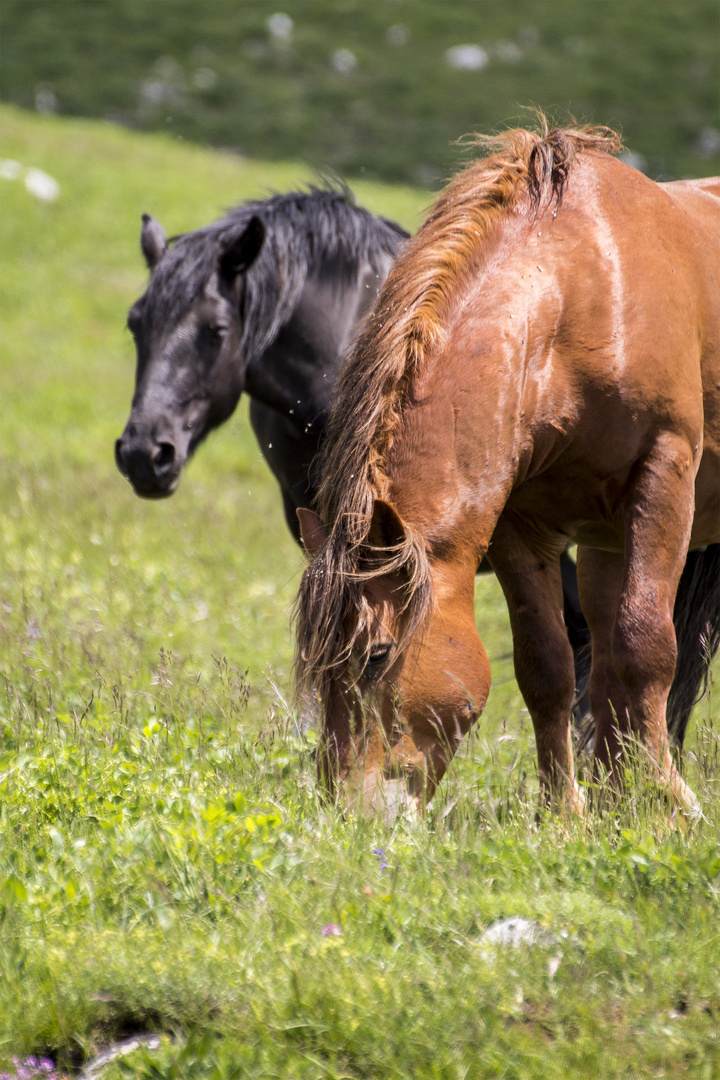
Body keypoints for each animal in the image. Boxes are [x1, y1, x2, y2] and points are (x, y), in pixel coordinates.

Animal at [293, 122, 720, 816]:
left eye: (377, 656)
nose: (345, 814)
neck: (584, 289)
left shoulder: (664, 474)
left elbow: (648, 649)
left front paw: (669, 807)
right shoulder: (523, 524)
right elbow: (548, 669)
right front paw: (568, 816)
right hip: (605, 543)